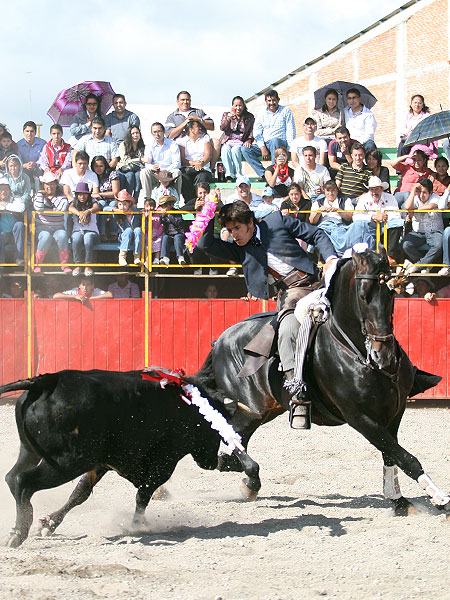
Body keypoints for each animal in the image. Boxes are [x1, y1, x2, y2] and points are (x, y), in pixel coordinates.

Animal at [195, 246, 448, 512]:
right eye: (363, 296)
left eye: (391, 293)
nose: (384, 354)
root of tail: (220, 340)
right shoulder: (361, 418)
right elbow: (404, 456)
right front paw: (439, 498)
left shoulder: (394, 413)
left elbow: (391, 454)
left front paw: (398, 500)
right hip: (250, 409)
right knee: (230, 433)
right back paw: (249, 477)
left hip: (265, 411)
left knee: (235, 439)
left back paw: (232, 468)